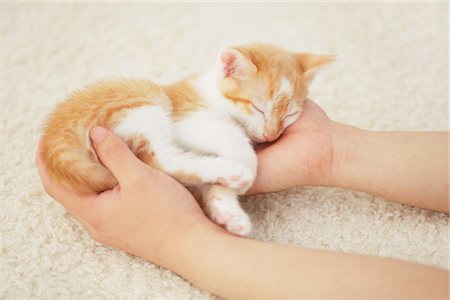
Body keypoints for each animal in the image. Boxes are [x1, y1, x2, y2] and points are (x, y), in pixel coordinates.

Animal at [41, 44, 334, 237]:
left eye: (291, 115)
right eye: (259, 108)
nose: (272, 134)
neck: (214, 93)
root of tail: (54, 134)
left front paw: (227, 211)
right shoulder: (186, 120)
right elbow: (233, 135)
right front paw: (247, 168)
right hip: (143, 100)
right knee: (160, 159)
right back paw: (230, 170)